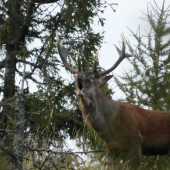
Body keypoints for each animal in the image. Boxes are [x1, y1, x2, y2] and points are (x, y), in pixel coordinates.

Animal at [56, 32, 170, 169]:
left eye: (93, 78)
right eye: (75, 77)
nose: (79, 77)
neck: (111, 126)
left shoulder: (136, 139)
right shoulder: (111, 147)